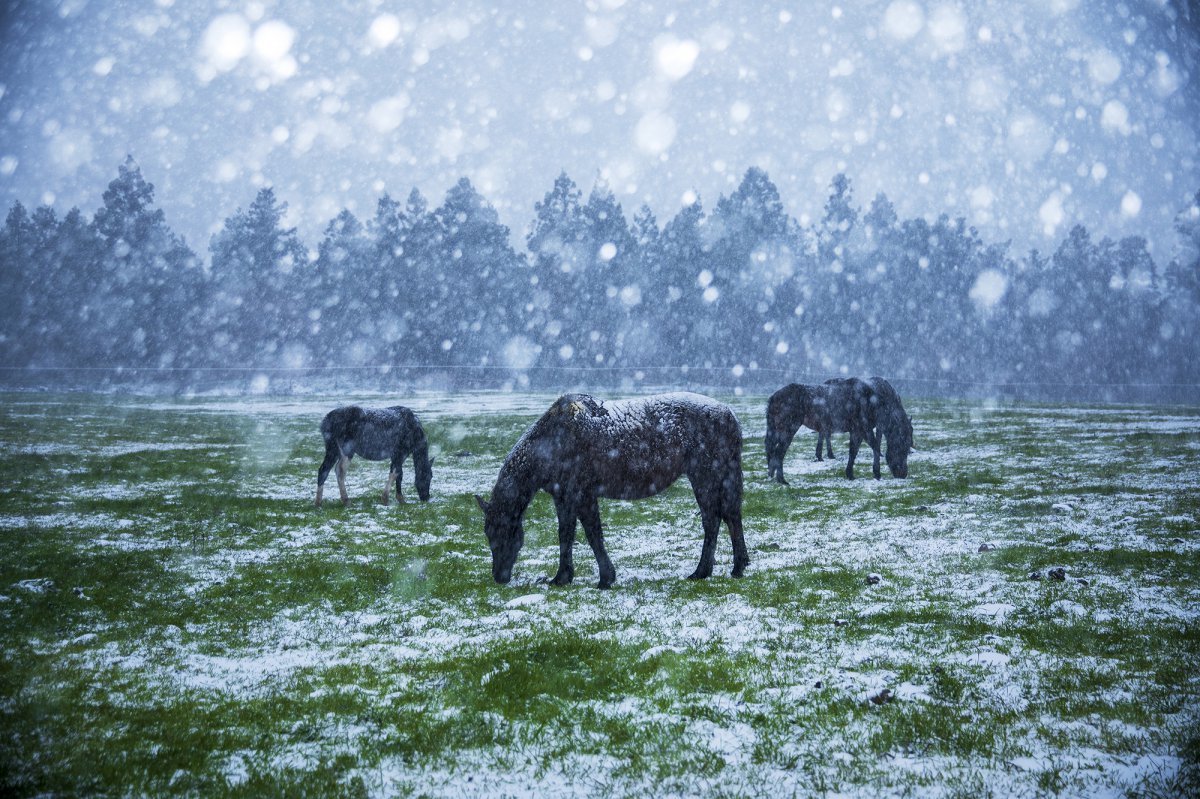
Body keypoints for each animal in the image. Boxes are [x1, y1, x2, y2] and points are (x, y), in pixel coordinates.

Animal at [472, 391, 744, 585]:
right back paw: (736, 567)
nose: (499, 577)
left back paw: (701, 571)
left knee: (712, 520)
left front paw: (603, 578)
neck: (553, 441)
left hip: (704, 478)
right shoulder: (564, 498)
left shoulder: (581, 495)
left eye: (502, 532)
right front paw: (563, 577)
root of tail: (728, 414)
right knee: (731, 516)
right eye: (488, 533)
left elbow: (591, 534)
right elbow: (567, 534)